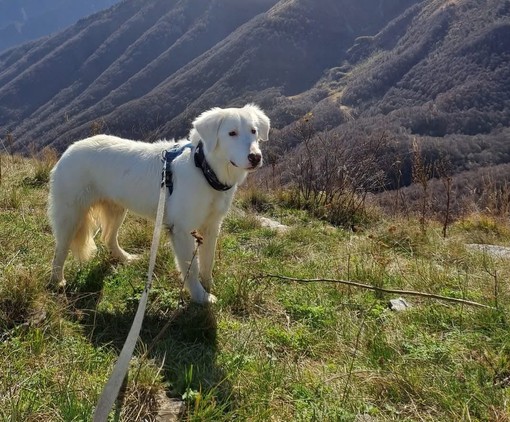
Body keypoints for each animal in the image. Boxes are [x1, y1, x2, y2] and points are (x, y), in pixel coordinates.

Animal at [48, 105, 270, 304]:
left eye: (253, 131)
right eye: (232, 133)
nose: (255, 157)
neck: (204, 169)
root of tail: (70, 149)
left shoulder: (211, 227)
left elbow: (207, 262)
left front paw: (209, 286)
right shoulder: (182, 231)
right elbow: (191, 268)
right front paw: (201, 297)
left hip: (117, 209)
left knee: (108, 238)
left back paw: (126, 258)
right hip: (70, 215)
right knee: (60, 251)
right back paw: (57, 281)